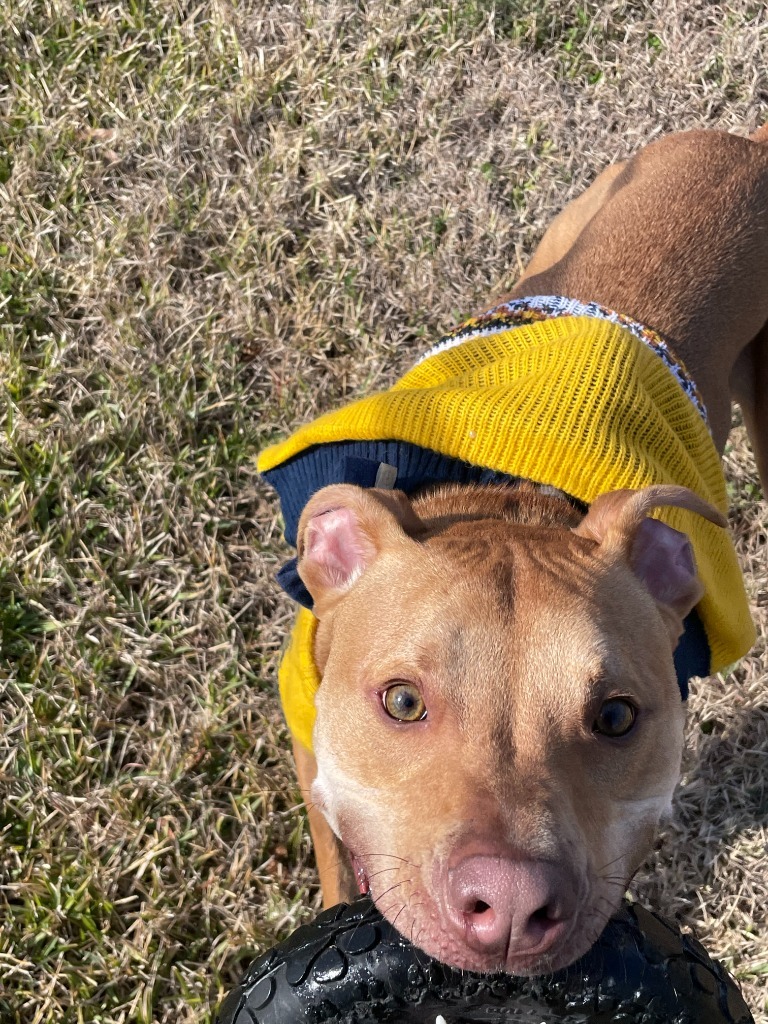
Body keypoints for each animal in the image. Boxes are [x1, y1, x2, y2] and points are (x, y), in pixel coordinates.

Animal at [260, 128, 768, 974]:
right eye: (402, 701)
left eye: (618, 717)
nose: (510, 907)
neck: (508, 501)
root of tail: (746, 144)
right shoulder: (306, 746)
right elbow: (334, 859)